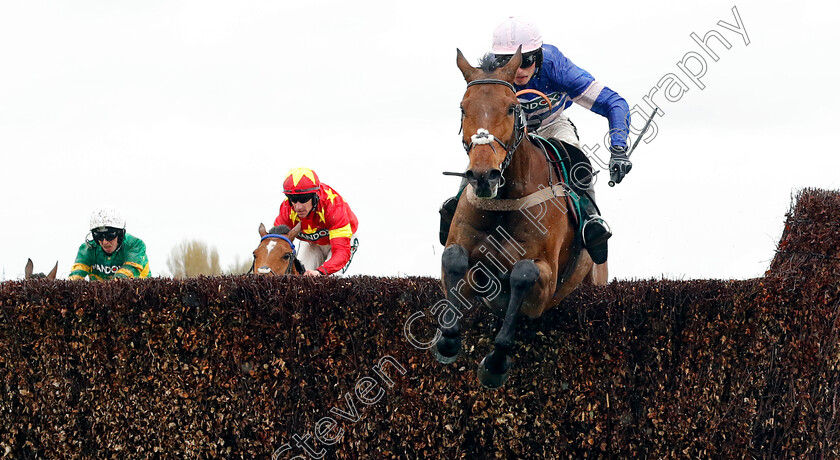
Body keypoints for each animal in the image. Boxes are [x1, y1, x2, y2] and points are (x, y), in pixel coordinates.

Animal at [436, 48, 608, 388]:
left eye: (511, 107)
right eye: (463, 108)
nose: (483, 175)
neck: (504, 203)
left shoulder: (546, 282)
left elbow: (522, 274)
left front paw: (495, 363)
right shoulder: (464, 257)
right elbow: (454, 259)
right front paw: (448, 340)